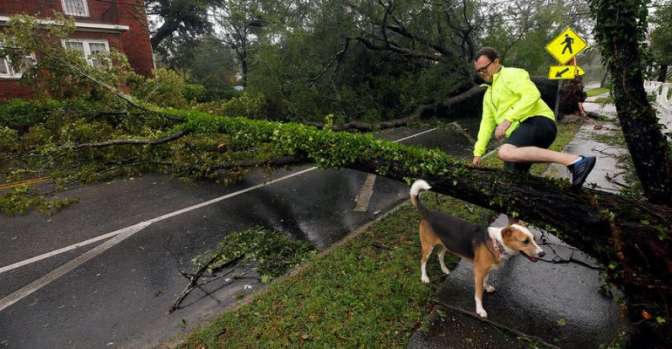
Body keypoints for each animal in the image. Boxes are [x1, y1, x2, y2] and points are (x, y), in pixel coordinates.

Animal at [410, 178, 544, 316]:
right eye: (525, 241)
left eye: (534, 238)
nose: (542, 253)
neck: (497, 243)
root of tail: (428, 213)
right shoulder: (479, 272)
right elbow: (478, 294)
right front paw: (480, 310)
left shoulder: (487, 269)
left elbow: (486, 280)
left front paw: (487, 287)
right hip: (428, 246)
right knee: (423, 261)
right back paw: (424, 278)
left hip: (446, 244)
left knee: (440, 254)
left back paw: (445, 269)